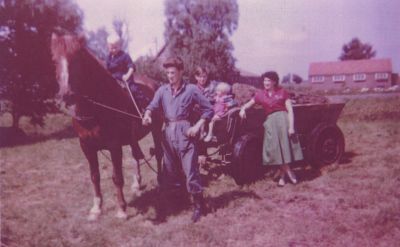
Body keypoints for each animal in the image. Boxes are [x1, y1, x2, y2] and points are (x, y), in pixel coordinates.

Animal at [50, 32, 162, 220]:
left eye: (77, 59)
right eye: (54, 60)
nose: (67, 95)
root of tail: (155, 84)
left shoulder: (114, 146)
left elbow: (117, 177)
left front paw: (121, 209)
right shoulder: (86, 146)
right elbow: (94, 176)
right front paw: (96, 208)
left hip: (156, 129)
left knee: (159, 154)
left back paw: (161, 179)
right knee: (136, 156)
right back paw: (137, 183)